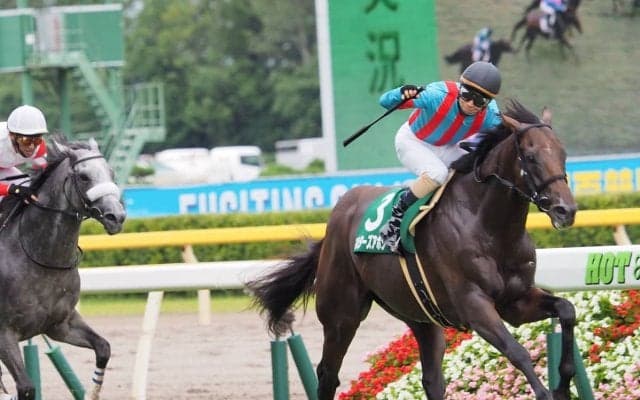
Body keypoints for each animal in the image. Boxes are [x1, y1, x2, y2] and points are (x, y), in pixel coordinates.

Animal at [0, 135, 126, 400]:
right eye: (84, 177)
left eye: (111, 172)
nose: (116, 216)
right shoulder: (4, 334)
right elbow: (26, 388)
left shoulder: (60, 324)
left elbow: (103, 348)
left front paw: (91, 393)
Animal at [247, 100, 578, 400]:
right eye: (531, 157)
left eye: (563, 153)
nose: (566, 210)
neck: (491, 228)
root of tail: (336, 217)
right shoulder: (475, 305)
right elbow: (518, 352)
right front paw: (548, 392)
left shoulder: (515, 302)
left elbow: (567, 310)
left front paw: (563, 385)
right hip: (341, 315)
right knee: (328, 375)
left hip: (421, 317)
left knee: (432, 380)